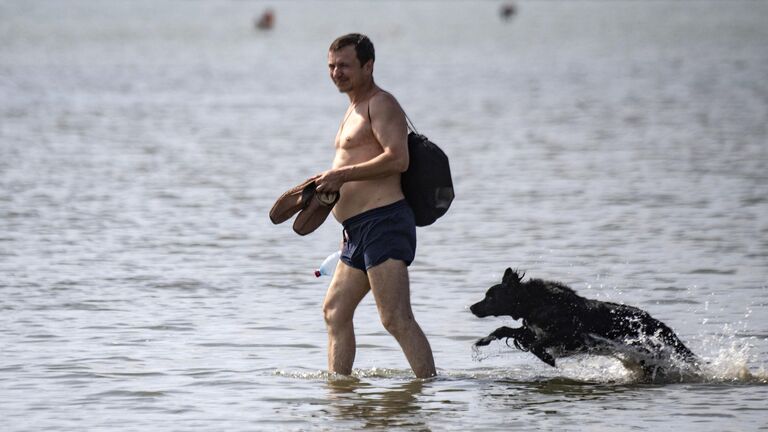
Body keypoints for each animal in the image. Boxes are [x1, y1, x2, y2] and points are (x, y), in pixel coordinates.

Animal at [472, 268, 700, 380]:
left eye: (490, 297)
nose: (472, 307)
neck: (534, 301)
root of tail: (659, 325)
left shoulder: (570, 335)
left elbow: (537, 345)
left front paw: (548, 358)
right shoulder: (534, 330)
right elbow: (506, 330)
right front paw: (484, 340)